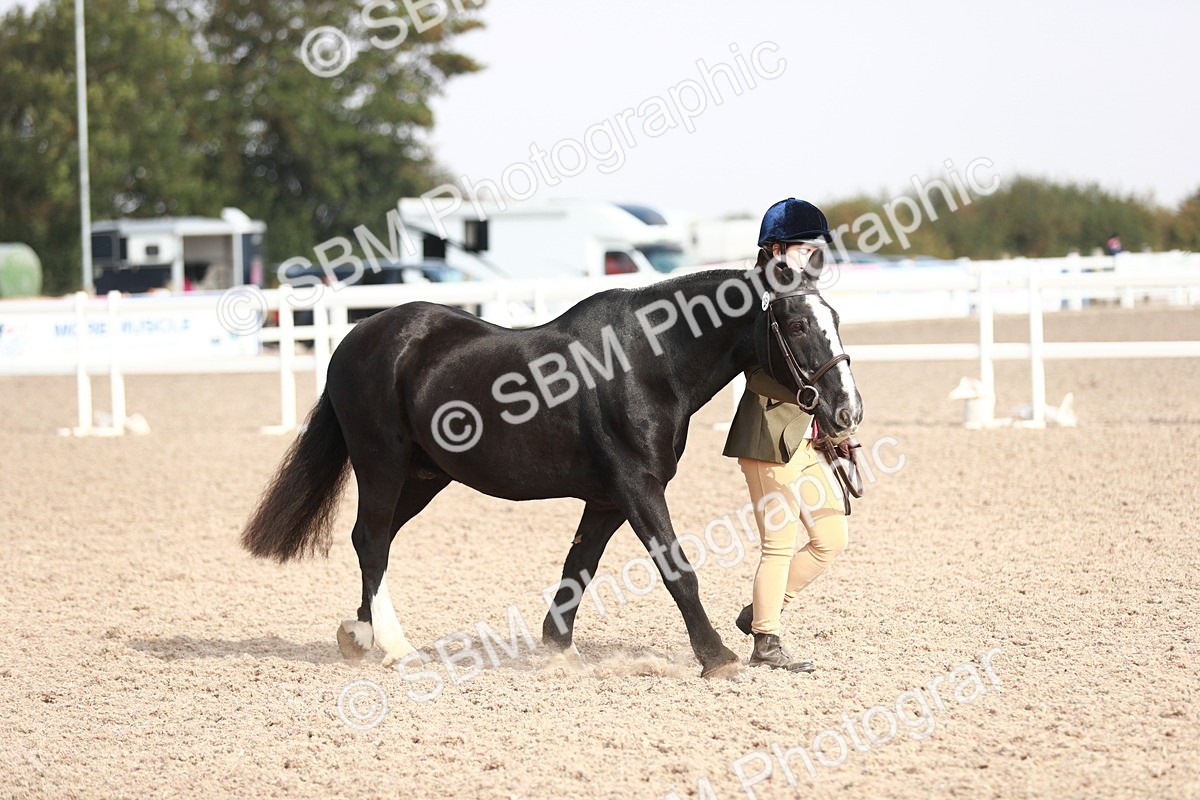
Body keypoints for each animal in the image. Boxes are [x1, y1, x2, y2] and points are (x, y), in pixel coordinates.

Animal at [239, 256, 863, 679]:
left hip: (423, 476)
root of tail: (357, 338)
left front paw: (556, 645)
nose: (846, 409)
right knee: (370, 540)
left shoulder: (608, 497)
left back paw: (360, 634)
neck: (647, 361)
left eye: (835, 315)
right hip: (381, 464)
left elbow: (579, 565)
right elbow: (677, 570)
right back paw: (395, 646)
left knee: (374, 539)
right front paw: (718, 657)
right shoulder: (637, 487)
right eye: (797, 324)